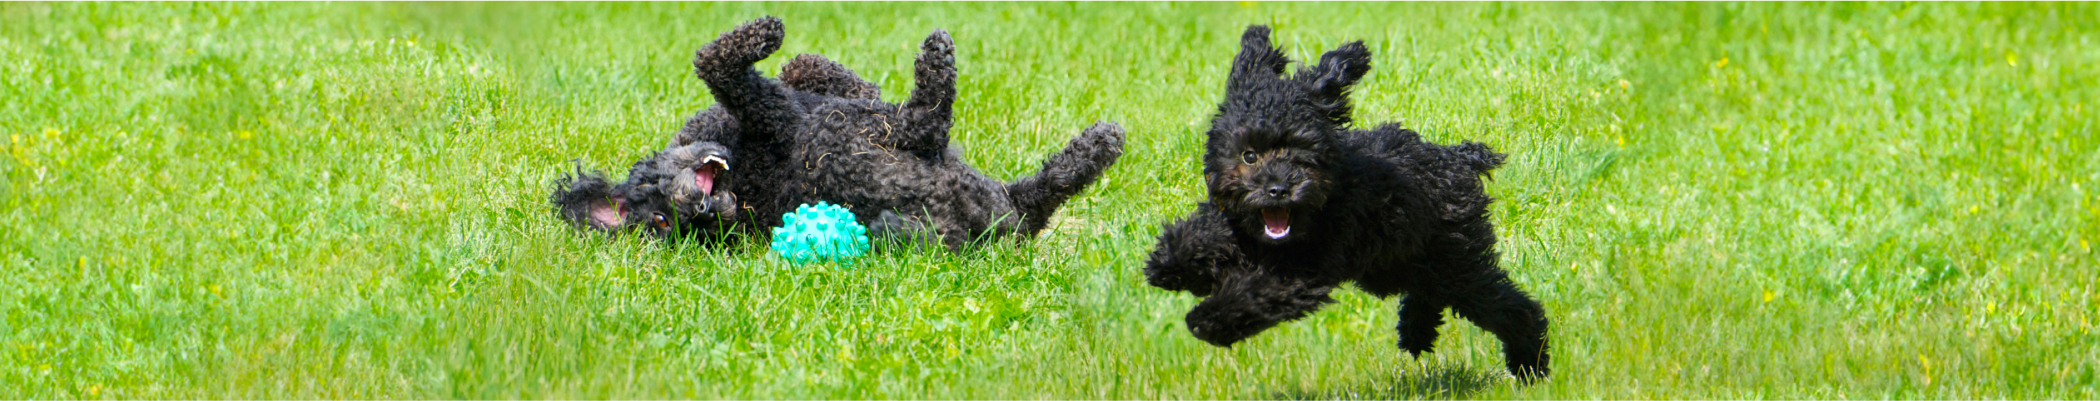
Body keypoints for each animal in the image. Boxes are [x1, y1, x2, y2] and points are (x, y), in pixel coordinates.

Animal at [550, 17, 1125, 250]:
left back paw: (1094, 146)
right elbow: (715, 62)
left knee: (1043, 190)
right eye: (664, 223)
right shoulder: (782, 113)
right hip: (853, 143)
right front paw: (767, 33)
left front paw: (811, 63)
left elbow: (809, 67)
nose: (702, 210)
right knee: (927, 118)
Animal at [1142, 25, 1553, 382]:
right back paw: (1416, 333)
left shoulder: (1299, 269)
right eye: (1249, 155)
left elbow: (1252, 292)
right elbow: (1206, 230)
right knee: (1429, 293)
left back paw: (1530, 367)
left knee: (1513, 307)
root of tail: (1460, 157)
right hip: (1401, 262)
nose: (1279, 190)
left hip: (1455, 263)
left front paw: (1208, 319)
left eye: (1303, 151)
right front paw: (1170, 263)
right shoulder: (1240, 222)